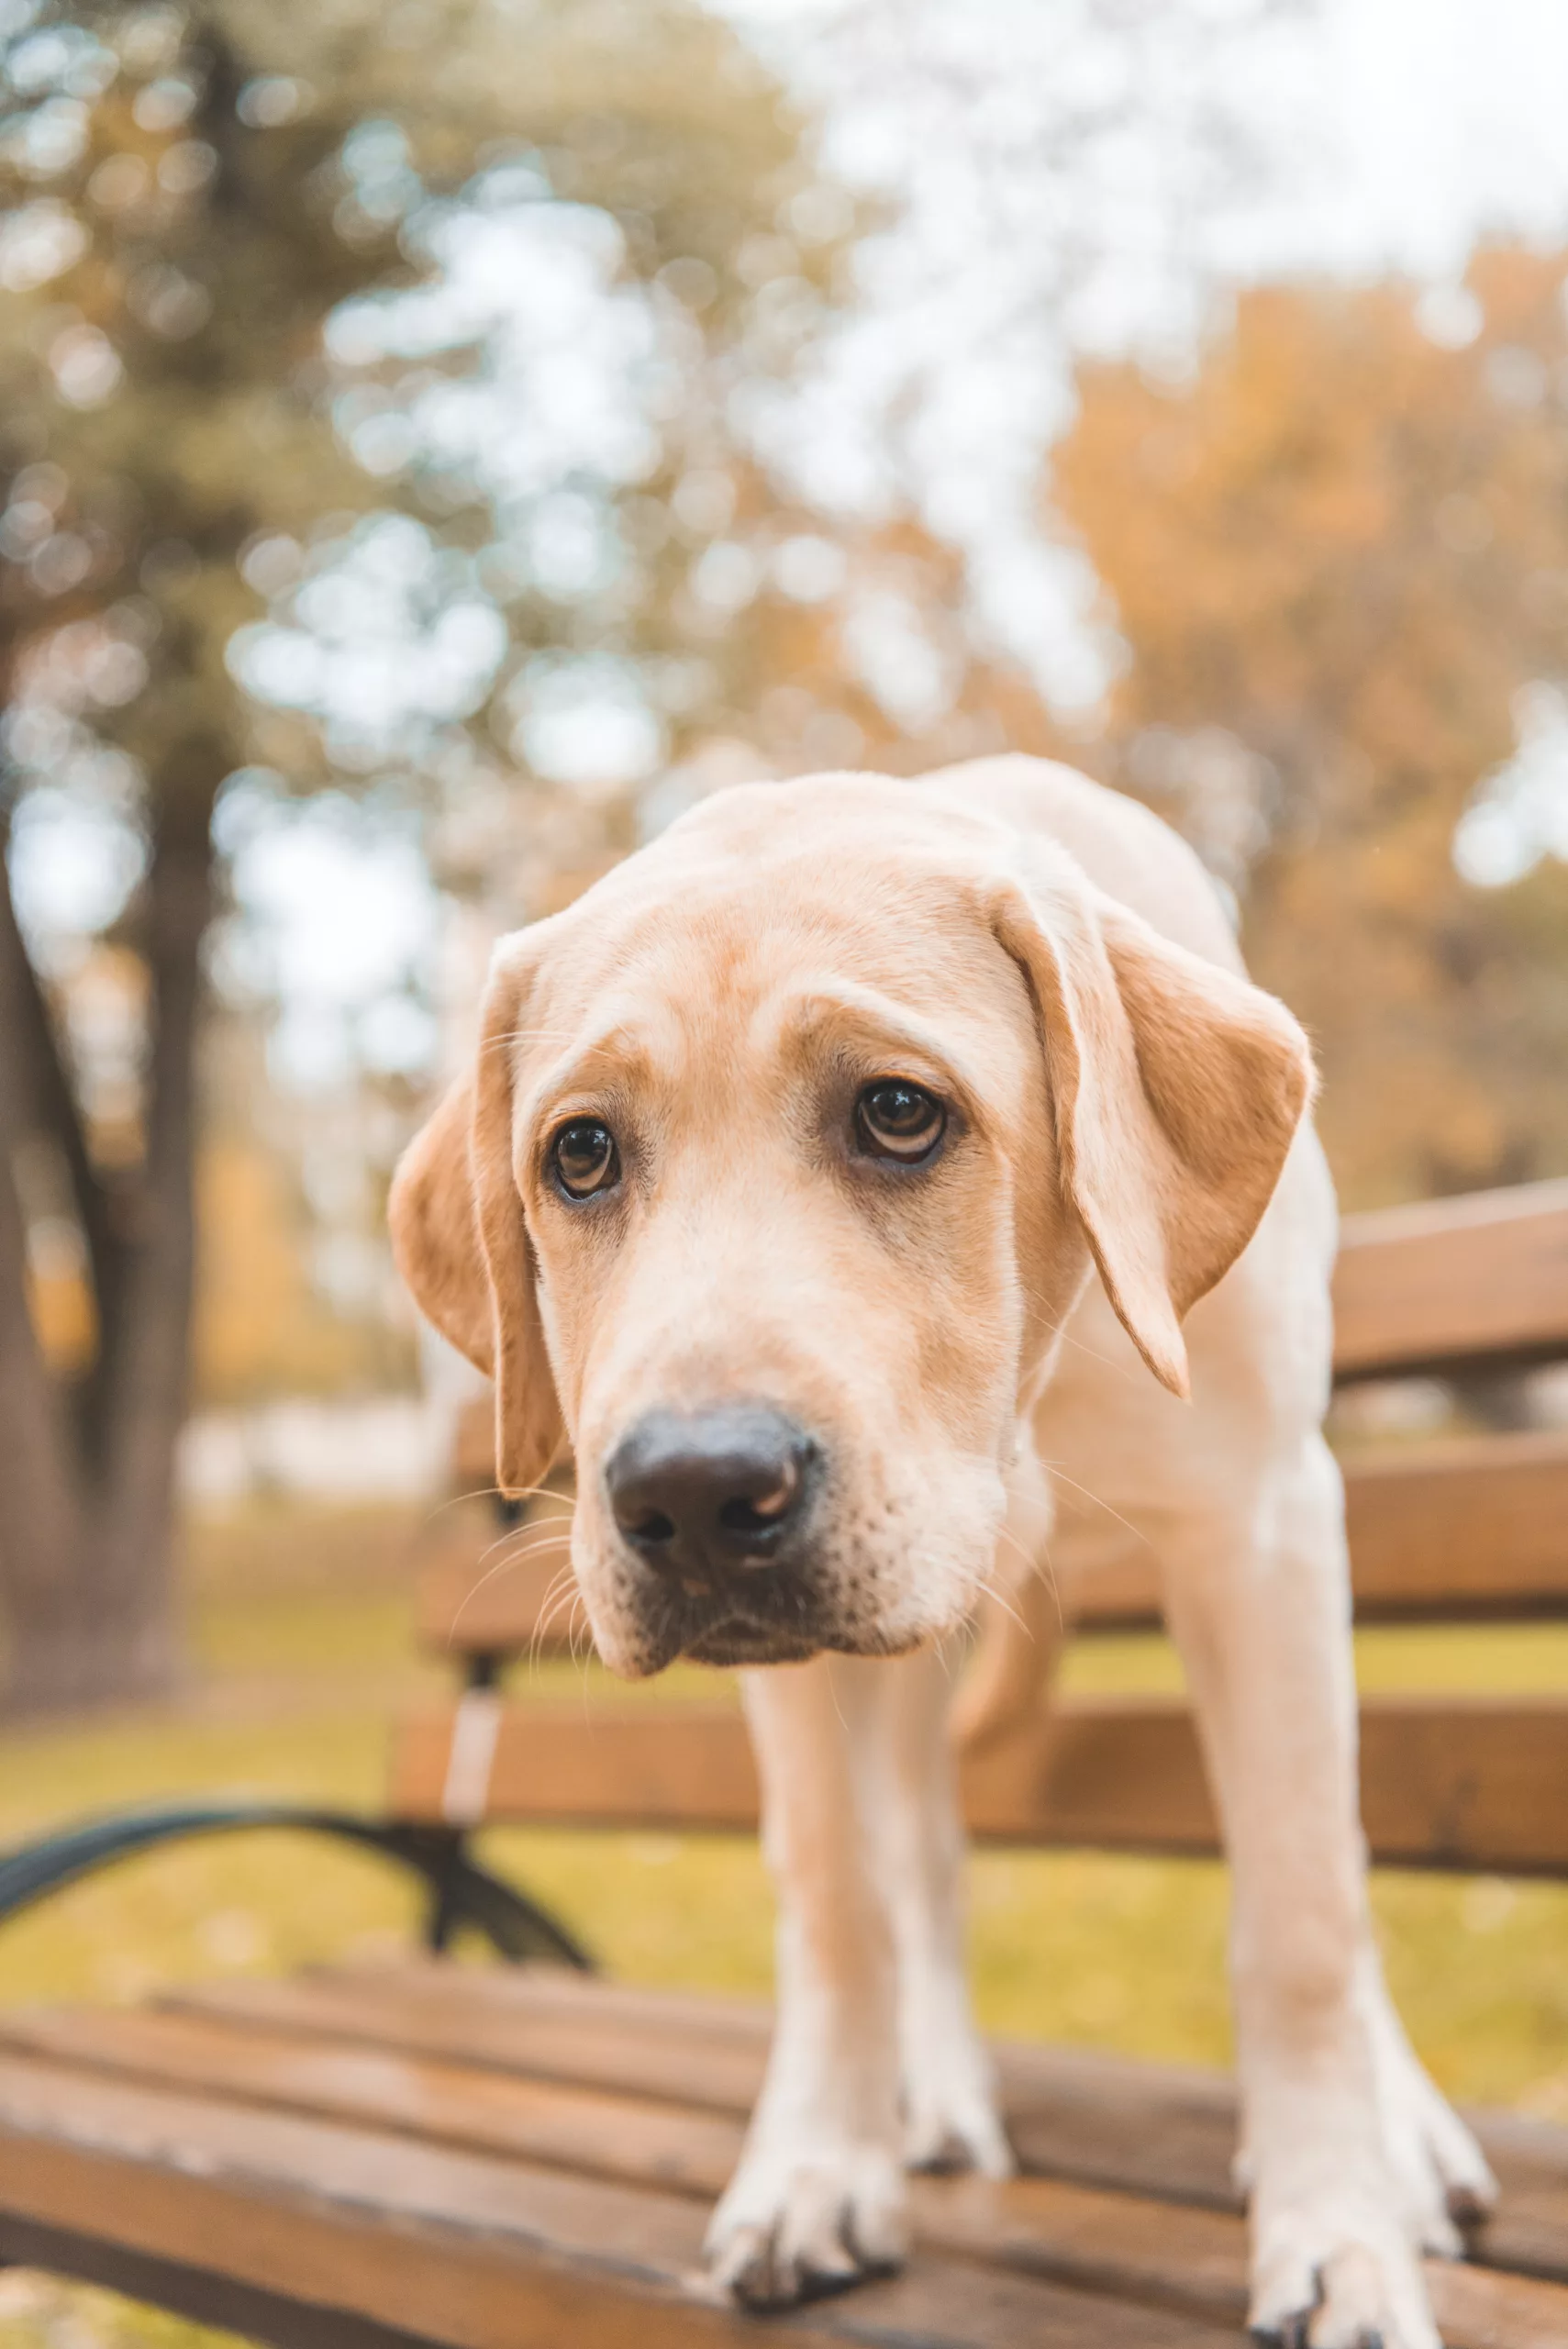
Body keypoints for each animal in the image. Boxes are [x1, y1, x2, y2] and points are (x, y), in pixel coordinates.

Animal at [392, 756, 1493, 2349]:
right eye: (580, 1154)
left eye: (900, 1114)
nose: (691, 1495)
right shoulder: (796, 1674)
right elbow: (839, 1896)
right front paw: (815, 2166)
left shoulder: (1263, 1530)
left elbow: (1300, 1907)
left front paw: (1337, 2229)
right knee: (918, 1849)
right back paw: (935, 2091)